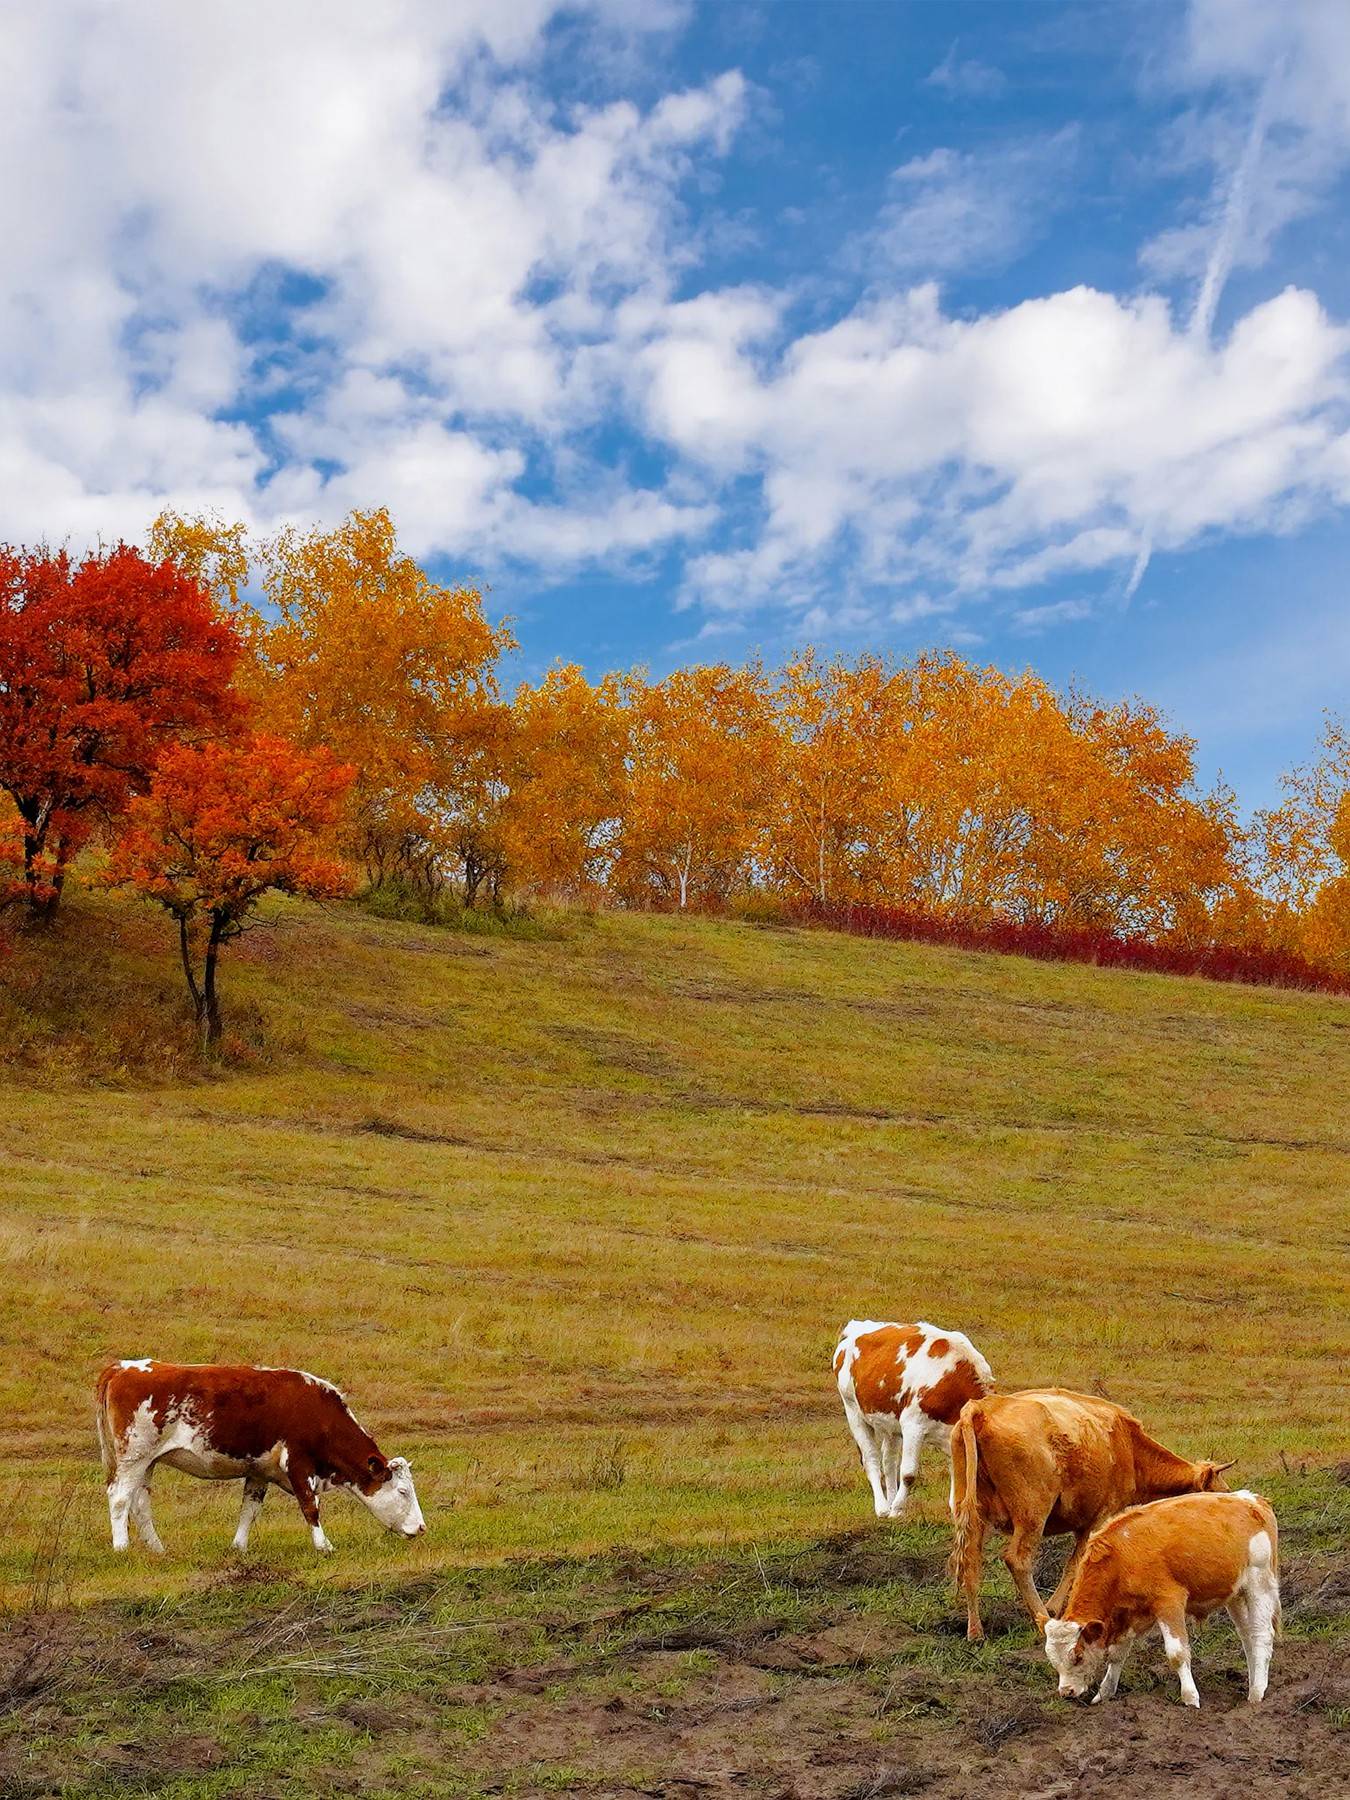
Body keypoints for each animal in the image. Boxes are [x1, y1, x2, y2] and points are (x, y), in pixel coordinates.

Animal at [97, 1353, 424, 1555]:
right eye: (404, 1491)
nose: (421, 1527)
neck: (319, 1413)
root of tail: (121, 1367)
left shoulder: (259, 1470)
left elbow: (249, 1510)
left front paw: (238, 1547)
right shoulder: (298, 1462)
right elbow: (311, 1507)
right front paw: (324, 1546)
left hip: (147, 1461)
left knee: (140, 1503)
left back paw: (157, 1549)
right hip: (134, 1456)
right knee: (120, 1497)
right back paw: (121, 1547)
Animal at [835, 1324, 993, 1519]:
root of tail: (855, 1325)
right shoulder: (913, 1425)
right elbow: (908, 1474)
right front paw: (897, 1509)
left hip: (891, 1423)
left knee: (888, 1461)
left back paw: (890, 1501)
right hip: (853, 1411)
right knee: (871, 1459)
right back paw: (883, 1508)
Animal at [950, 1389, 1238, 1648]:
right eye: (1221, 1493)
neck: (1128, 1447)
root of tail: (982, 1408)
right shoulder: (1100, 1517)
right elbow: (1076, 1563)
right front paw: (1054, 1608)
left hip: (972, 1513)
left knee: (971, 1563)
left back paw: (975, 1632)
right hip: (1032, 1514)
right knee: (1017, 1560)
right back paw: (1042, 1620)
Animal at [1044, 1483, 1288, 1706]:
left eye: (1077, 1657)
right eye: (1053, 1661)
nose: (1066, 1692)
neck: (1121, 1557)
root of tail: (1252, 1500)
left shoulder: (1168, 1602)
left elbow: (1177, 1653)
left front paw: (1190, 1698)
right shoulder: (1129, 1613)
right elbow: (1117, 1653)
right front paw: (1105, 1693)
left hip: (1259, 1584)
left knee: (1262, 1634)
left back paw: (1257, 1694)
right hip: (1236, 1595)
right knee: (1247, 1636)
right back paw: (1253, 1684)